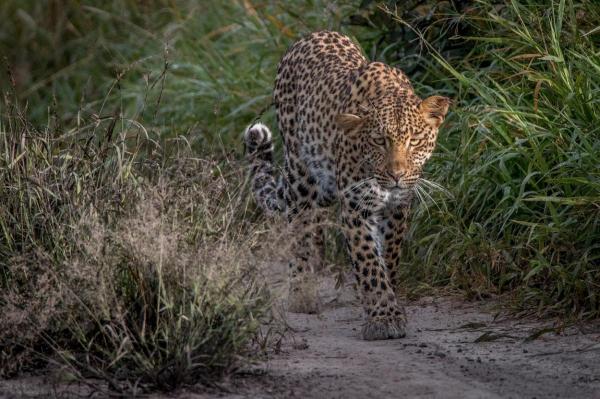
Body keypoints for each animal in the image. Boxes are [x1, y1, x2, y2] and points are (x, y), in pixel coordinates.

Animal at [241, 30, 448, 340]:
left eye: (414, 141)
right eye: (379, 141)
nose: (397, 175)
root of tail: (310, 35)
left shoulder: (398, 208)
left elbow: (389, 258)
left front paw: (389, 302)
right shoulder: (355, 207)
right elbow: (368, 262)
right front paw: (384, 318)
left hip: (324, 188)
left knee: (314, 225)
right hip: (302, 175)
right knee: (298, 226)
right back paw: (302, 293)